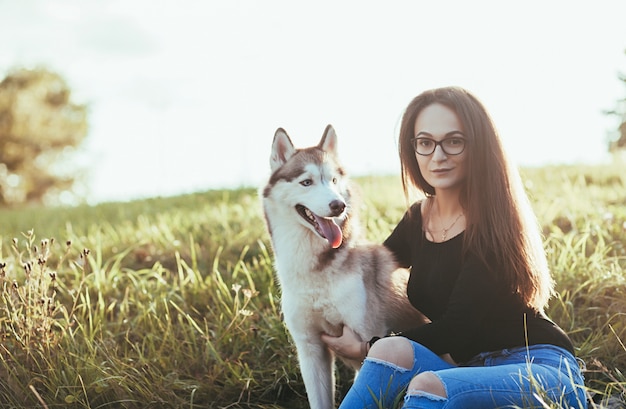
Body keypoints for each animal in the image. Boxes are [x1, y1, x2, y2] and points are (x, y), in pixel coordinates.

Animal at [258, 124, 424, 408]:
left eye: (334, 181)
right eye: (306, 182)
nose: (338, 205)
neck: (315, 272)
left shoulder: (365, 340)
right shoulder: (310, 349)